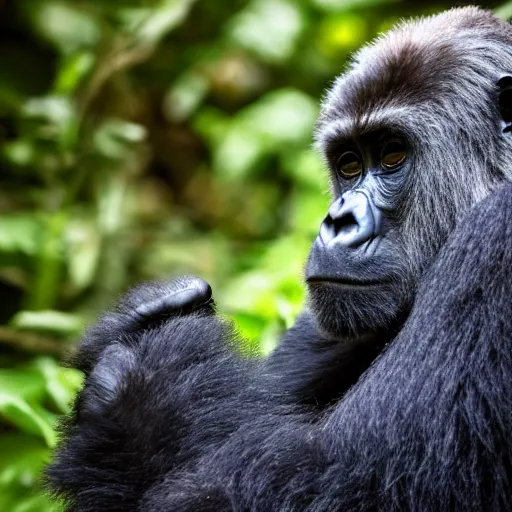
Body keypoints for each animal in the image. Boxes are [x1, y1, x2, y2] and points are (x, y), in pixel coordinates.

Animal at [49, 7, 512, 512]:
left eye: (393, 154)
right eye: (349, 163)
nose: (337, 221)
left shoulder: (497, 239)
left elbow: (335, 478)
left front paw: (145, 390)